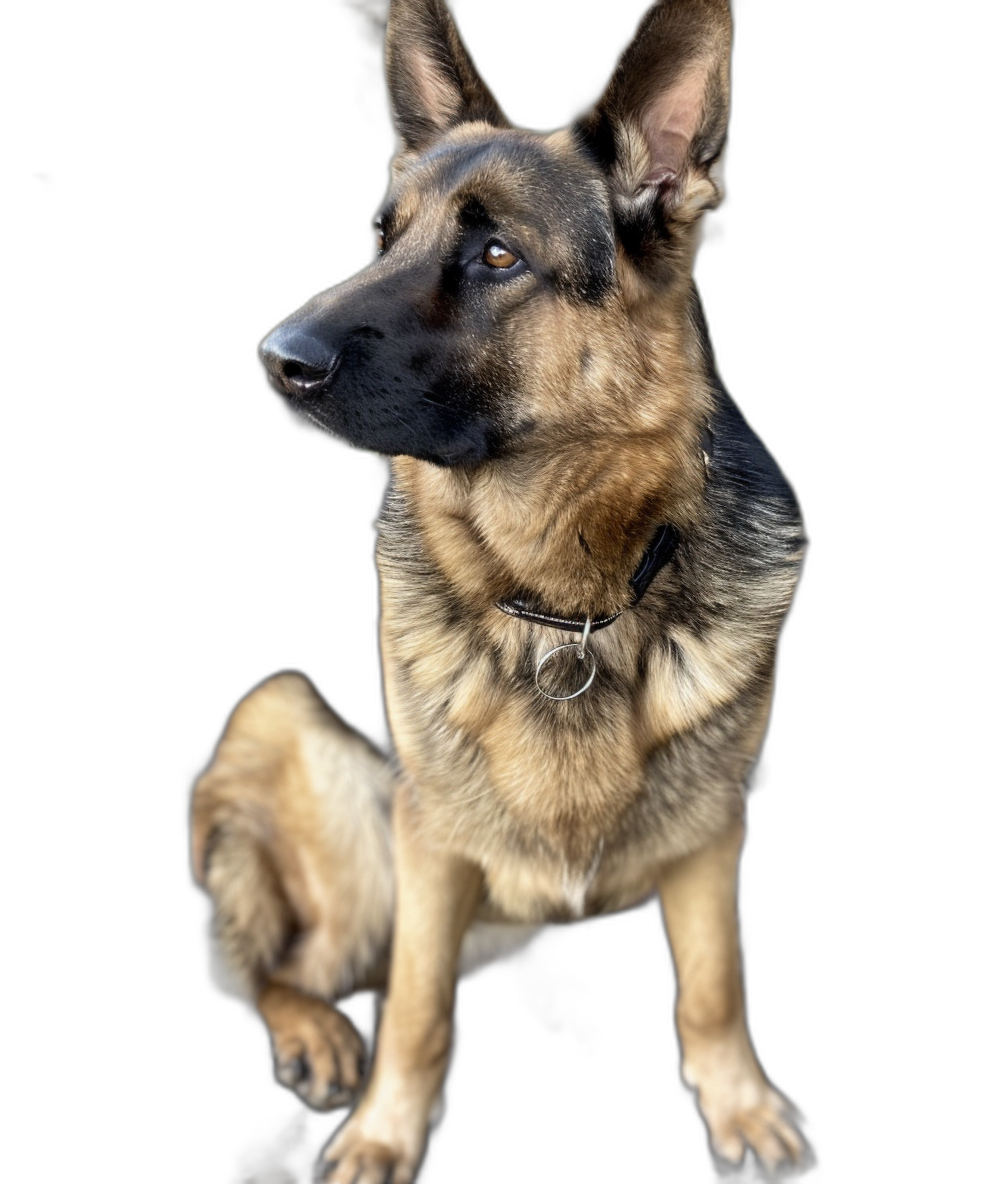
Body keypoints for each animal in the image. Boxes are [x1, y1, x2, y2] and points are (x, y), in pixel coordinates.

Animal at [190, 4, 810, 1179]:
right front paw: (385, 1130)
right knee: (277, 970)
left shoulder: (713, 833)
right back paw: (316, 1036)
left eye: (497, 254)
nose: (275, 359)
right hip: (309, 752)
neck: (571, 603)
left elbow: (713, 986)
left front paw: (740, 1104)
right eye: (382, 236)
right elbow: (418, 1009)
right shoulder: (430, 846)